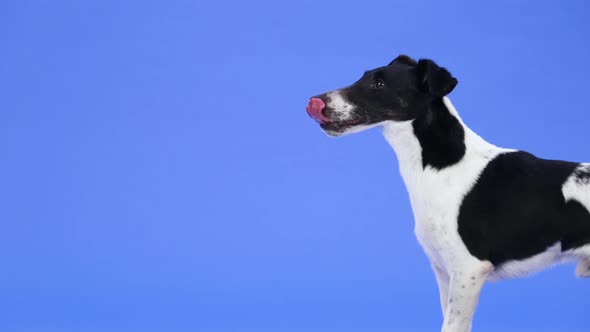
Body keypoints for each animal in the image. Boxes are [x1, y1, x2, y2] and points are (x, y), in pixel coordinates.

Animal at [306, 55, 590, 330]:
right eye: (363, 76)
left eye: (379, 84)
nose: (314, 101)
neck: (444, 165)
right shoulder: (444, 271)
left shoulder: (468, 270)